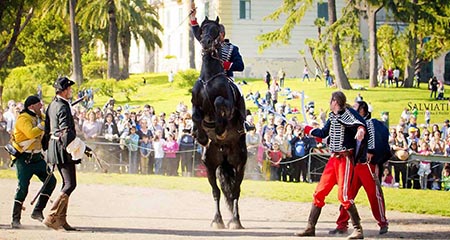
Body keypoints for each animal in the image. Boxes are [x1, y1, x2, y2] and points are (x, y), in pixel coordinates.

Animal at [190, 16, 246, 229]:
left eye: (215, 30)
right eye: (202, 29)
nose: (205, 42)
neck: (209, 78)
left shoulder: (227, 105)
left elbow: (219, 102)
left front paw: (220, 128)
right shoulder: (196, 104)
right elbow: (196, 116)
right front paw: (201, 135)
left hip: (239, 163)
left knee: (235, 191)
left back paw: (236, 221)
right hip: (210, 165)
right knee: (217, 191)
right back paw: (218, 220)